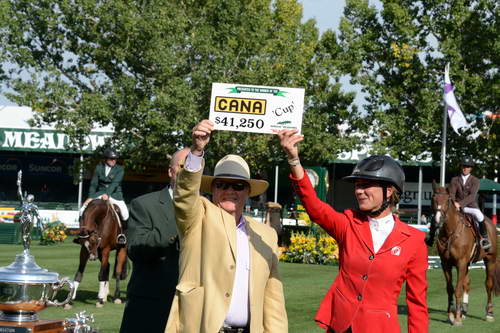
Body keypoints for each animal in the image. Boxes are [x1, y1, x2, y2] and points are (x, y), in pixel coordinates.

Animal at [432, 182, 498, 324]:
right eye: (433, 199)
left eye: (447, 200)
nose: (438, 220)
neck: (450, 232)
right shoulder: (446, 264)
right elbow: (450, 288)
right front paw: (451, 314)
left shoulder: (461, 263)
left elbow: (458, 289)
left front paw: (456, 318)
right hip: (467, 264)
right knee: (467, 283)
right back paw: (464, 309)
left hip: (490, 260)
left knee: (488, 284)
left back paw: (489, 313)